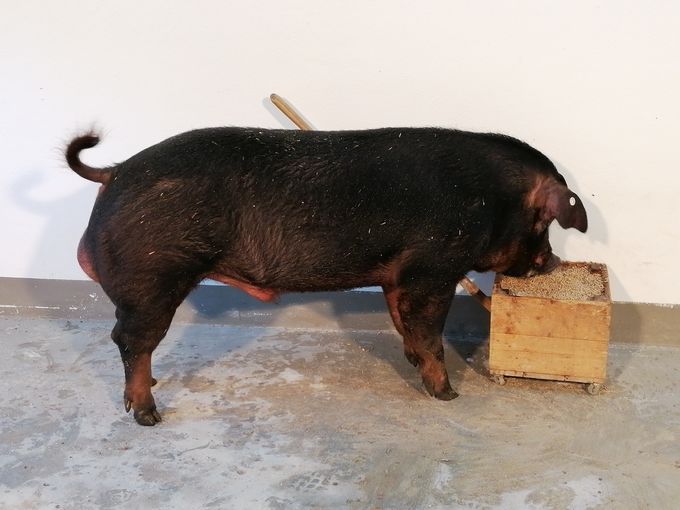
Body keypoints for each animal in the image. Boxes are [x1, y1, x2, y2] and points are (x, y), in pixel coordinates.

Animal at [65, 127, 587, 425]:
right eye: (543, 222)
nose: (552, 263)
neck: (490, 199)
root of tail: (115, 172)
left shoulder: (396, 276)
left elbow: (403, 322)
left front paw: (412, 362)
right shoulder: (432, 269)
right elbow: (430, 332)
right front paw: (447, 394)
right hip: (154, 277)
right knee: (129, 340)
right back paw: (148, 415)